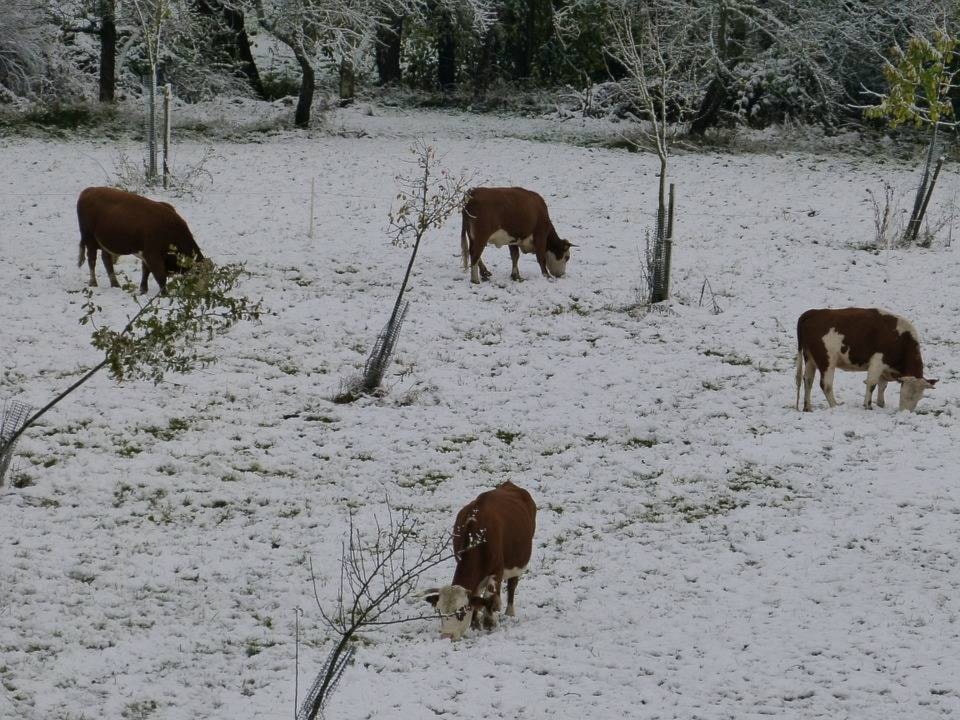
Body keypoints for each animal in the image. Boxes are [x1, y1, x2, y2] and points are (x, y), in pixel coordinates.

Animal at [77, 190, 206, 296]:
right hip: (90, 240)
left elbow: (146, 272)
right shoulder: (152, 256)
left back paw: (115, 284)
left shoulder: (146, 255)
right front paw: (164, 294)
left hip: (105, 243)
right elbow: (160, 276)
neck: (170, 230)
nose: (204, 293)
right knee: (92, 260)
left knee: (106, 260)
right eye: (199, 275)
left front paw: (143, 289)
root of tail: (87, 191)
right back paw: (93, 282)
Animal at [424, 478, 536, 640]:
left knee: (512, 584)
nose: (447, 635)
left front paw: (489, 623)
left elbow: (490, 596)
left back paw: (509, 612)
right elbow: (476, 595)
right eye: (440, 611)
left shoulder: (497, 571)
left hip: (518, 561)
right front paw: (475, 623)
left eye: (461, 612)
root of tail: (509, 484)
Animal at [796, 306, 936, 414]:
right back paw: (835, 405)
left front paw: (880, 404)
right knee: (826, 384)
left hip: (810, 359)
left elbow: (882, 385)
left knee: (808, 380)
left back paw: (807, 407)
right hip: (827, 360)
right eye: (903, 393)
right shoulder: (878, 361)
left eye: (919, 397)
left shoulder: (885, 368)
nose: (905, 413)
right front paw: (868, 405)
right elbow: (872, 383)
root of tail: (813, 312)